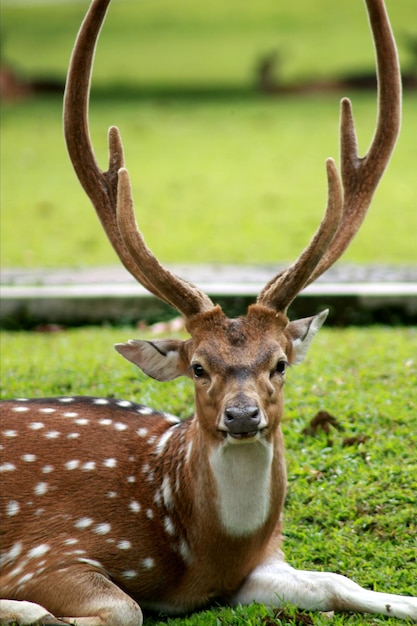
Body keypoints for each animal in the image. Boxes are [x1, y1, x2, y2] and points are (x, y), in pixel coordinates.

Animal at [0, 1, 416, 624]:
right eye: (198, 366)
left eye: (280, 363)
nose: (242, 416)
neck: (200, 553)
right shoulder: (44, 548)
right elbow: (123, 608)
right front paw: (24, 610)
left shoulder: (255, 567)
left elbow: (335, 582)